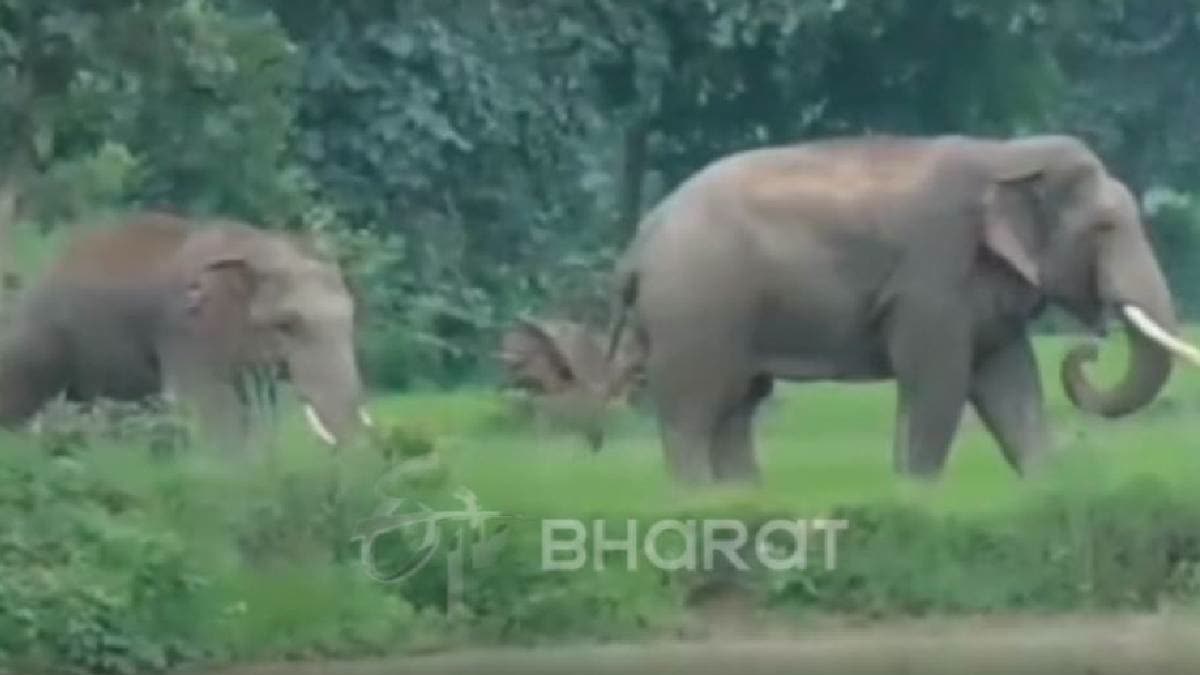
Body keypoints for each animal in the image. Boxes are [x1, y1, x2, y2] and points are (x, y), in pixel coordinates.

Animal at [0, 212, 369, 449]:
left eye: (351, 320)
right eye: (286, 325)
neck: (259, 247)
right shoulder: (188, 330)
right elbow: (208, 405)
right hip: (41, 334)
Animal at [609, 135, 1200, 482]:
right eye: (1103, 228)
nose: (1090, 347)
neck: (1006, 155)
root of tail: (640, 241)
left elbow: (1010, 383)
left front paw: (1047, 488)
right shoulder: (932, 275)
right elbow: (938, 380)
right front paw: (916, 491)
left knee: (737, 406)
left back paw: (741, 498)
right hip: (696, 307)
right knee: (694, 409)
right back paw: (698, 500)